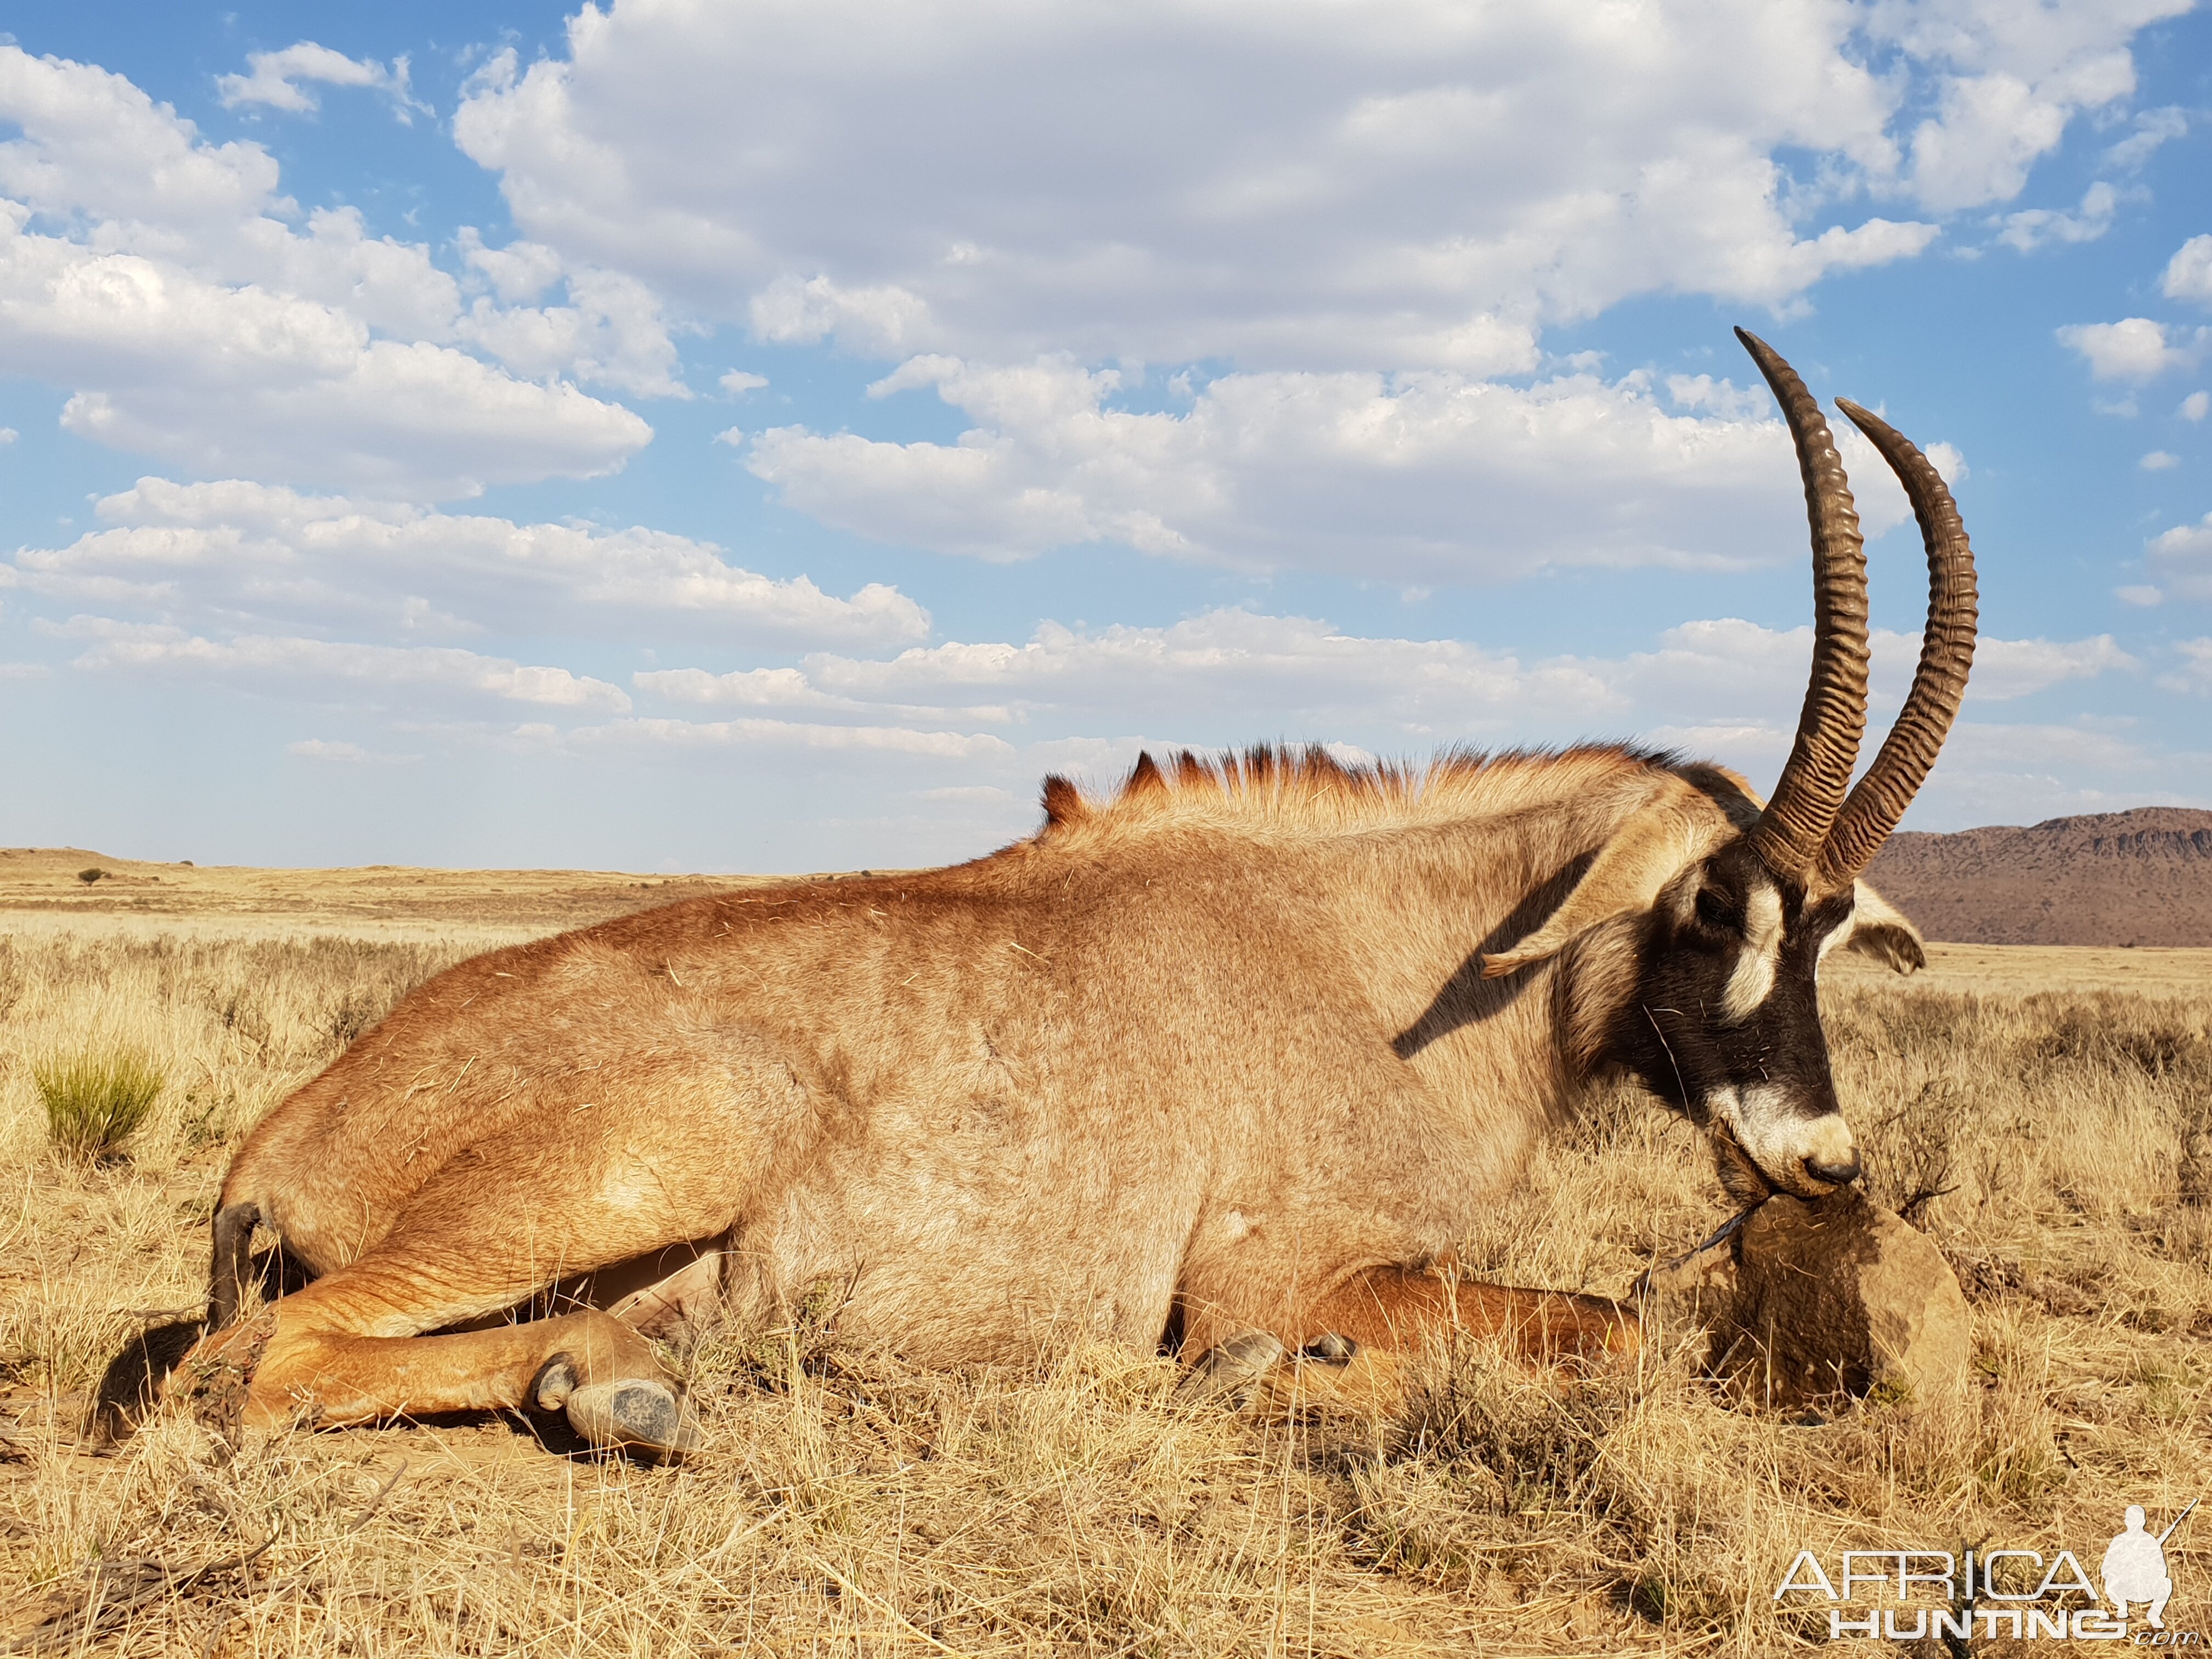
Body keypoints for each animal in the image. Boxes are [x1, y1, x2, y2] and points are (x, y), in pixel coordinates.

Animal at [163, 334, 1982, 1451]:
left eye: (1834, 928)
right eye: (1719, 907)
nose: (1823, 1162)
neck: (1386, 972)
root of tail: (282, 1135)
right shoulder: (1269, 1274)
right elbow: (1609, 1326)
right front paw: (1276, 1379)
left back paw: (612, 1374)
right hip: (640, 1166)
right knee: (267, 1361)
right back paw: (623, 1391)